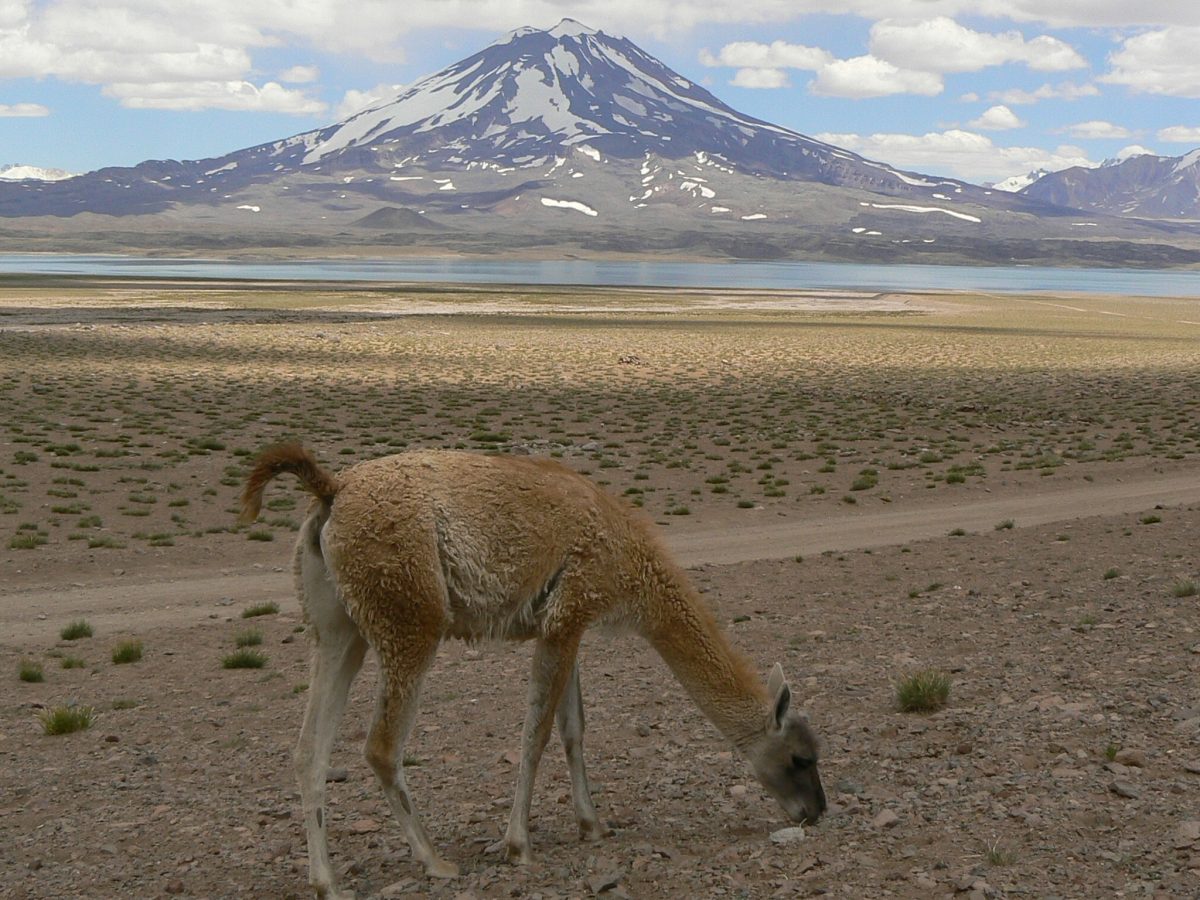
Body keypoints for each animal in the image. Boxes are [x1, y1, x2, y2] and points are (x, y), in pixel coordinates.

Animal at [240, 443, 826, 899]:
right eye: (800, 758)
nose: (816, 811)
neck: (631, 560)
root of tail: (332, 488)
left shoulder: (565, 626)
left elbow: (573, 730)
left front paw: (592, 824)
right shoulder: (569, 613)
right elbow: (536, 734)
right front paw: (518, 844)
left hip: (338, 629)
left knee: (308, 751)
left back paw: (325, 881)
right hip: (410, 619)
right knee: (381, 748)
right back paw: (435, 861)